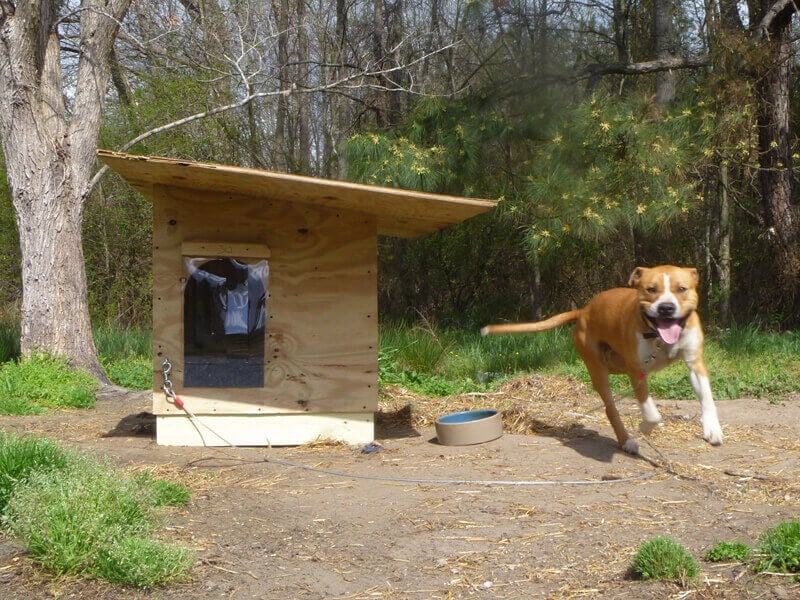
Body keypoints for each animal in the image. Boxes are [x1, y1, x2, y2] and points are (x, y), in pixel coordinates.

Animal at [482, 264, 724, 452]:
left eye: (681, 289)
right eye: (651, 289)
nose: (666, 308)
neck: (657, 336)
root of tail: (583, 311)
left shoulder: (695, 364)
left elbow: (707, 398)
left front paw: (712, 428)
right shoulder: (637, 372)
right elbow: (651, 413)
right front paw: (646, 427)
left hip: (615, 363)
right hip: (599, 371)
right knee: (611, 409)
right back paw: (626, 441)